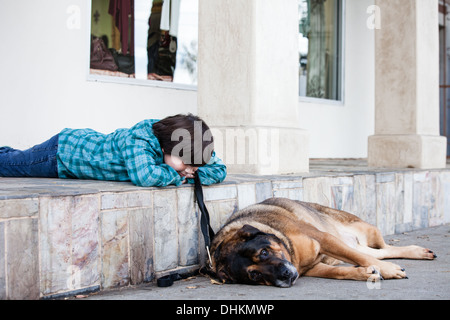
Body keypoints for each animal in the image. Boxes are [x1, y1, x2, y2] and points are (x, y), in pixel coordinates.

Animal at [209, 198, 438, 288]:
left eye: (264, 253)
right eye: (254, 275)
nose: (284, 276)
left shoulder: (324, 239)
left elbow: (358, 258)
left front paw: (388, 271)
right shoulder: (313, 267)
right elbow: (337, 271)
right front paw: (364, 273)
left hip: (370, 231)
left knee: (381, 249)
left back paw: (414, 254)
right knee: (379, 252)